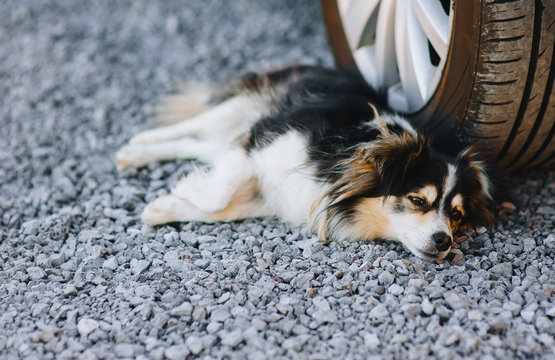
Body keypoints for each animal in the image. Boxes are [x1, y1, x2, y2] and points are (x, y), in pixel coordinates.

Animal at [118, 65, 508, 262]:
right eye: (417, 200)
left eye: (456, 215)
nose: (445, 241)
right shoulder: (264, 136)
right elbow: (218, 196)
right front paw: (184, 191)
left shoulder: (268, 194)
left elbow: (223, 209)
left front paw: (163, 207)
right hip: (243, 109)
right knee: (191, 127)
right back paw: (136, 145)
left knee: (199, 145)